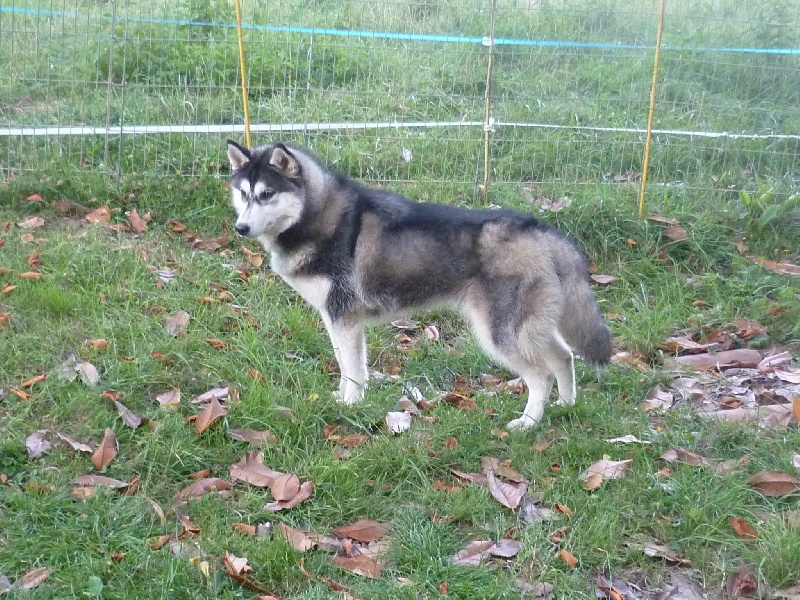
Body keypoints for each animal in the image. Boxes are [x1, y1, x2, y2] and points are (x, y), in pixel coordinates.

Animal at [227, 141, 612, 428]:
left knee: (542, 375)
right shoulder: (337, 319)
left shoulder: (343, 316)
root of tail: (541, 229)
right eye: (243, 193)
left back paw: (528, 423)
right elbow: (348, 367)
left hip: (501, 335)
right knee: (564, 356)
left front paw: (350, 405)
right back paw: (565, 406)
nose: (241, 228)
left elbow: (352, 370)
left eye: (267, 194)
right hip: (530, 327)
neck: (318, 217)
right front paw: (346, 398)